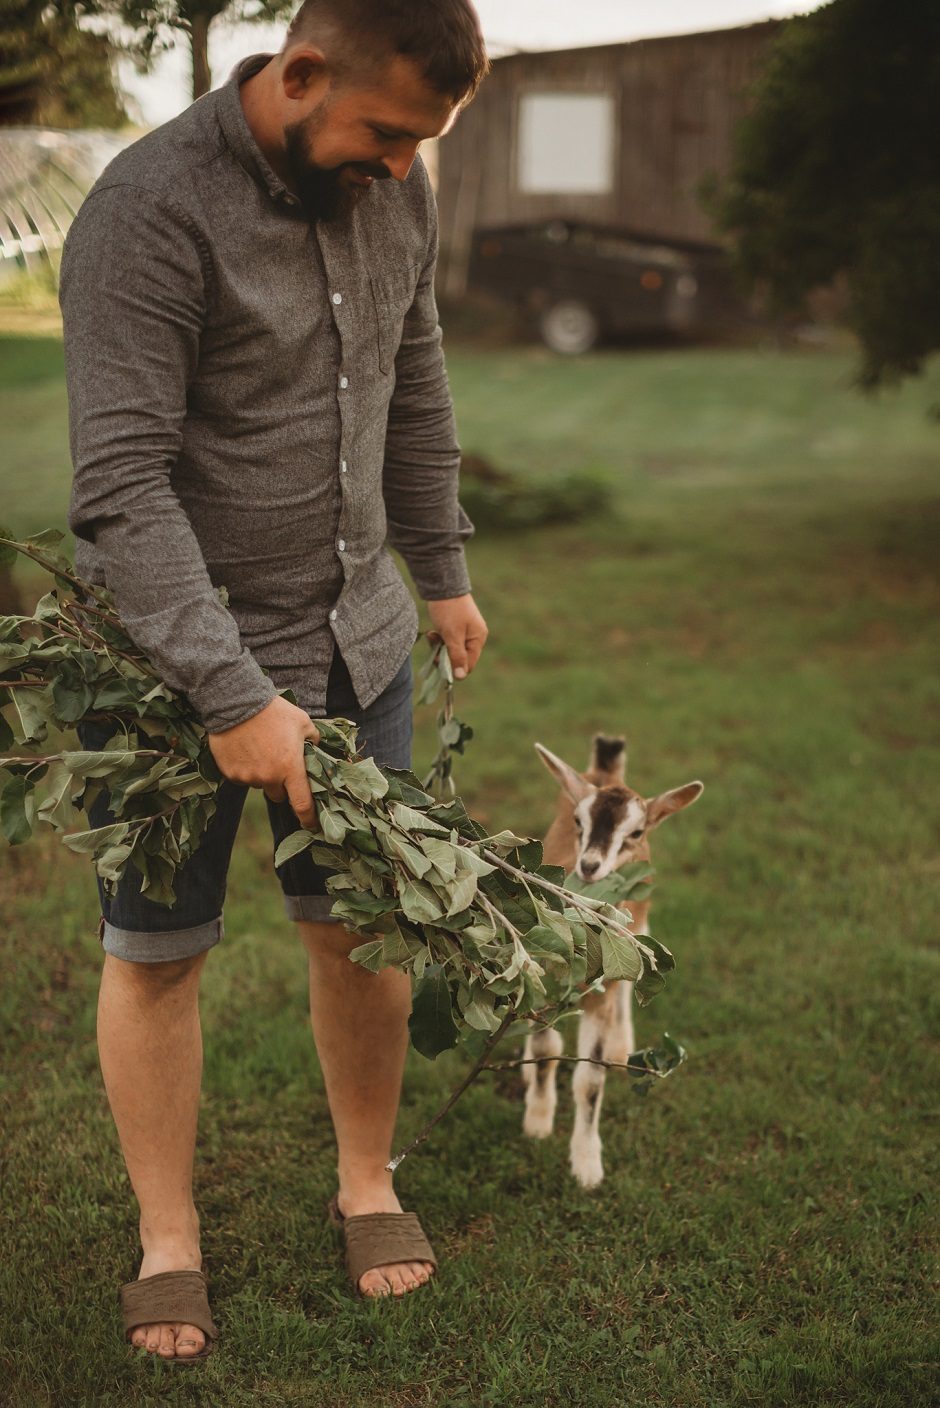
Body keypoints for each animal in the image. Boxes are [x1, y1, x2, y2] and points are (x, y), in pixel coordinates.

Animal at [526, 737, 700, 1188]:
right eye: (578, 820)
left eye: (636, 832)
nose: (590, 866)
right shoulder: (542, 974)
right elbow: (545, 1047)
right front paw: (537, 1121)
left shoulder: (599, 993)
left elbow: (590, 1080)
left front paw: (587, 1166)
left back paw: (623, 1048)